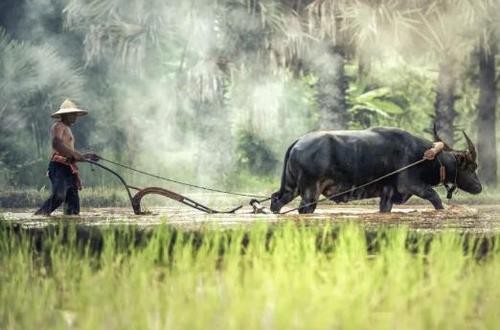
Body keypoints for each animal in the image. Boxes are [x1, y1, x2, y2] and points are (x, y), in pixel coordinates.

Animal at [272, 126, 482, 214]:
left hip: (291, 187)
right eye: (471, 166)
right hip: (310, 191)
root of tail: (298, 142)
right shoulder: (412, 185)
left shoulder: (388, 193)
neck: (426, 156)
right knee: (304, 208)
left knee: (277, 200)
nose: (479, 187)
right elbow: (436, 199)